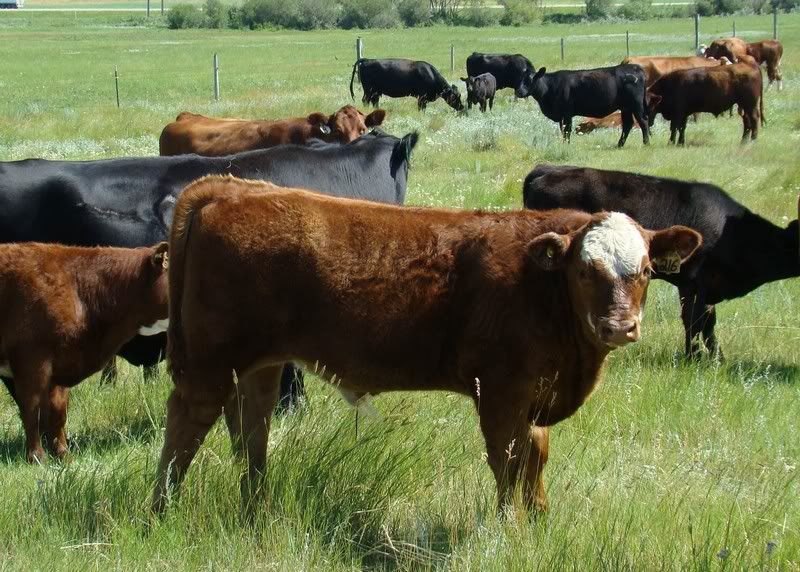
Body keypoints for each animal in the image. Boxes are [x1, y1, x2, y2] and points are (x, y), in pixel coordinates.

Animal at [0, 242, 169, 463]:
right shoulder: (32, 359)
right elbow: (32, 409)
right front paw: (37, 457)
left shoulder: (61, 363)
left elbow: (58, 412)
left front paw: (63, 455)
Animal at [151, 175, 701, 516]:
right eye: (586, 271)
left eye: (645, 270)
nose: (620, 326)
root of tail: (232, 189)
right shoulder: (500, 392)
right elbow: (508, 464)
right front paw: (513, 531)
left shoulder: (536, 396)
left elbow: (535, 460)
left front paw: (541, 520)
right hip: (209, 364)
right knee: (185, 426)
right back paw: (160, 511)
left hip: (259, 364)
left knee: (251, 428)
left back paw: (257, 508)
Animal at [515, 65, 650, 147]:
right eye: (520, 80)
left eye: (531, 80)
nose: (519, 92)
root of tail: (635, 67)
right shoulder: (561, 115)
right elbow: (563, 130)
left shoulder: (567, 113)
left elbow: (567, 130)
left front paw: (566, 145)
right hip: (626, 107)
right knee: (628, 124)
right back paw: (619, 145)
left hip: (636, 105)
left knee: (643, 121)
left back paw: (646, 143)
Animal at [523, 164, 800, 358]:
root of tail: (546, 169)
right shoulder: (693, 284)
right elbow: (694, 323)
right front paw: (694, 358)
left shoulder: (708, 287)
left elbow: (709, 324)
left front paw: (717, 359)